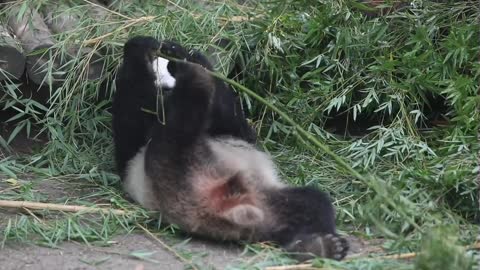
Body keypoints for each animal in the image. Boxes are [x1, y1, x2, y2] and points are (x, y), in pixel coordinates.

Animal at [112, 35, 348, 262]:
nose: (168, 75)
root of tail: (207, 209)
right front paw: (158, 52)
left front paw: (165, 52)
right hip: (174, 159)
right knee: (184, 119)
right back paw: (193, 75)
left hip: (265, 203)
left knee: (308, 205)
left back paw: (315, 247)